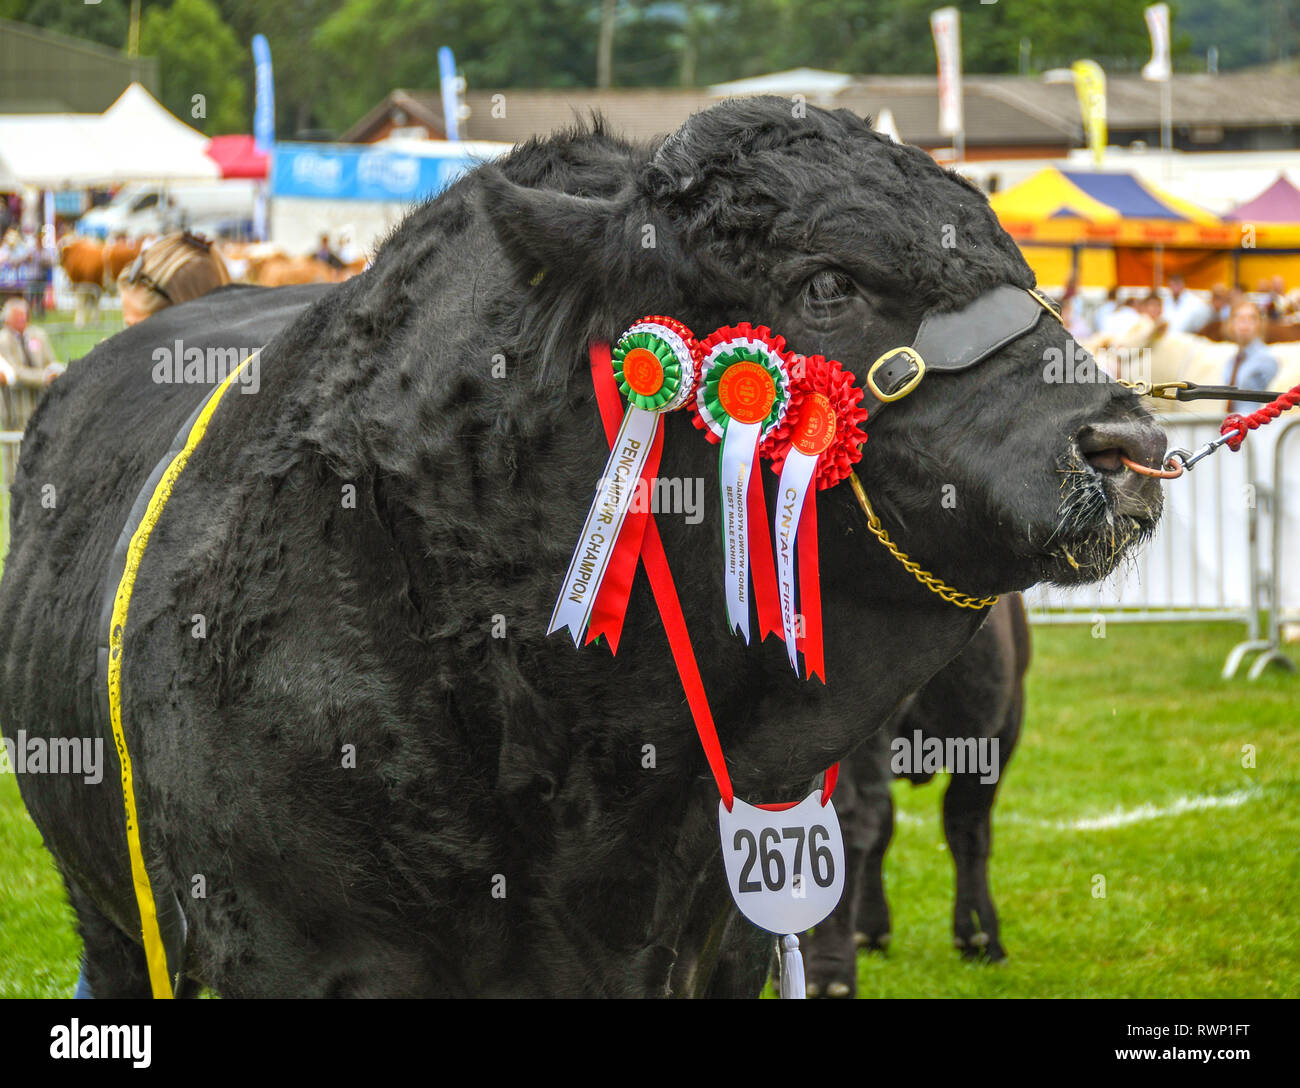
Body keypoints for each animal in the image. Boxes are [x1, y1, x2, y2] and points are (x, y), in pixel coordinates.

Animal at [0, 99, 1166, 997]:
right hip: (108, 915)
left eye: (1017, 262)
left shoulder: (720, 939)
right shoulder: (294, 944)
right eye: (828, 282)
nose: (1128, 445)